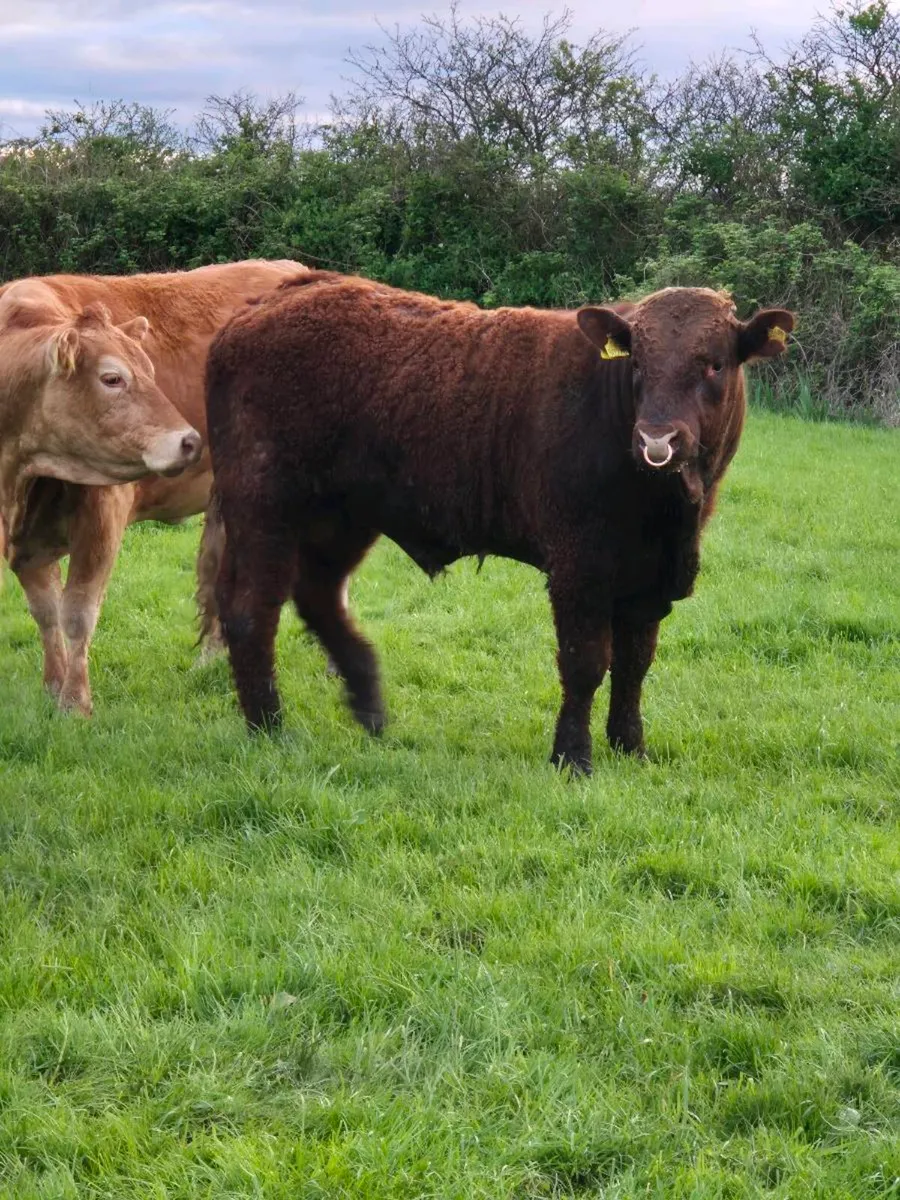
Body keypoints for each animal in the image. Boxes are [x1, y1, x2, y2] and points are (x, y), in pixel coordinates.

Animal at [1, 259, 304, 715]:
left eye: (150, 370)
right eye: (112, 378)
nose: (190, 440)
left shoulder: (101, 516)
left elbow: (77, 612)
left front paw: (75, 704)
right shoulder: (26, 540)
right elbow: (46, 612)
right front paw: (52, 689)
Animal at [205, 272, 794, 773]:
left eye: (714, 364)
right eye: (637, 367)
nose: (657, 440)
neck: (668, 513)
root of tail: (266, 304)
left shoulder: (647, 580)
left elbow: (634, 664)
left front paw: (631, 748)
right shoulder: (578, 566)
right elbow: (585, 662)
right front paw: (572, 758)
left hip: (342, 516)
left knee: (318, 596)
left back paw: (367, 703)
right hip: (263, 506)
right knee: (251, 613)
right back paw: (271, 727)